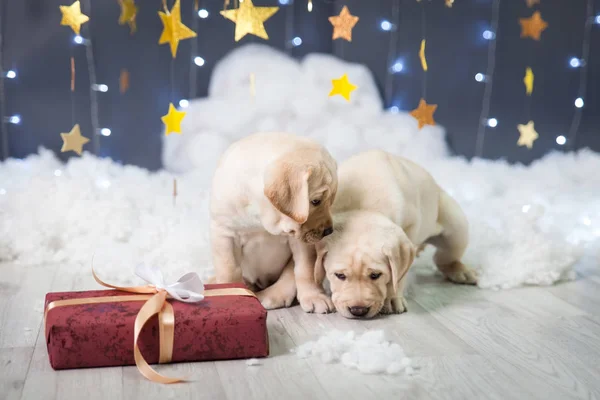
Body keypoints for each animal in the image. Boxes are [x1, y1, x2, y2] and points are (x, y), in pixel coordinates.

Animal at [210, 131, 338, 312]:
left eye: (330, 201)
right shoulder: (224, 233)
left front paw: (313, 296)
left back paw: (273, 295)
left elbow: (305, 269)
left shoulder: (301, 240)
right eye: (315, 201)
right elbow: (228, 270)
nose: (329, 231)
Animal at [314, 150, 478, 318]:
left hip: (455, 224)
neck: (361, 209)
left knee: (445, 256)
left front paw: (391, 298)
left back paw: (460, 271)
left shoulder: (411, 228)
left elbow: (398, 276)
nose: (358, 311)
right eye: (340, 276)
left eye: (375, 275)